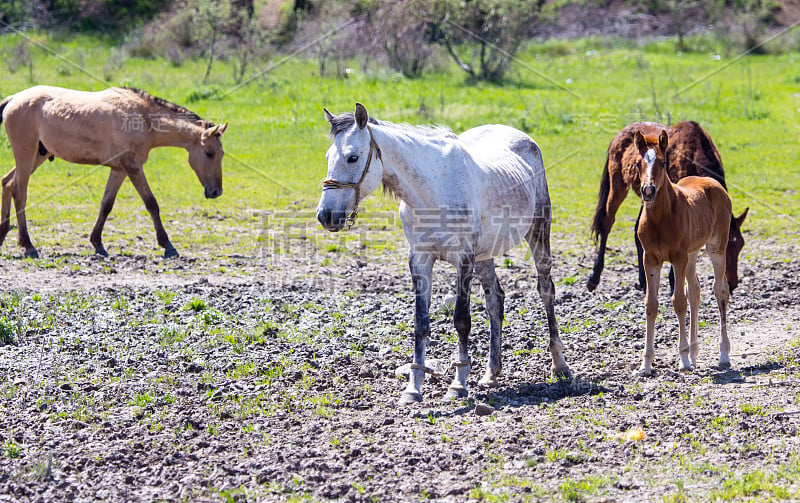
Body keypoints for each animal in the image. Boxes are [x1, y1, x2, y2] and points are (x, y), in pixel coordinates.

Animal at [0, 85, 228, 258]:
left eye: (221, 153)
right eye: (209, 153)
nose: (216, 192)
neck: (142, 117)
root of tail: (14, 99)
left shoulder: (119, 170)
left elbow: (106, 204)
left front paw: (97, 243)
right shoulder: (133, 167)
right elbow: (151, 203)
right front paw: (167, 245)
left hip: (37, 156)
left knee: (7, 183)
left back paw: (3, 235)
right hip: (26, 155)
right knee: (19, 193)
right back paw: (28, 245)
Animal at [316, 103, 572, 406]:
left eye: (353, 157)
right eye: (328, 157)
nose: (326, 216)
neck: (432, 191)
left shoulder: (463, 260)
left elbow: (461, 321)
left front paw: (458, 385)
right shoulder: (420, 260)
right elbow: (421, 323)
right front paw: (413, 388)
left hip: (538, 233)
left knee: (546, 291)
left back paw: (560, 365)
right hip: (485, 255)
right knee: (495, 300)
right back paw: (491, 373)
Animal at [584, 122, 748, 294]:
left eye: (740, 245)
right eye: (727, 245)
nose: (732, 283)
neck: (694, 154)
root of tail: (618, 135)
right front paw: (673, 282)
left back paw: (643, 281)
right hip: (618, 184)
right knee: (606, 223)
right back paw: (594, 277)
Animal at [636, 130, 736, 378]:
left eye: (663, 162)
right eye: (638, 163)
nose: (648, 191)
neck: (660, 219)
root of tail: (713, 182)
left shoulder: (678, 257)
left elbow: (678, 301)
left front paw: (683, 360)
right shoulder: (650, 259)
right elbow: (651, 304)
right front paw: (646, 365)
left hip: (715, 248)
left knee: (720, 290)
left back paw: (723, 355)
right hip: (692, 253)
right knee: (695, 291)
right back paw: (694, 352)